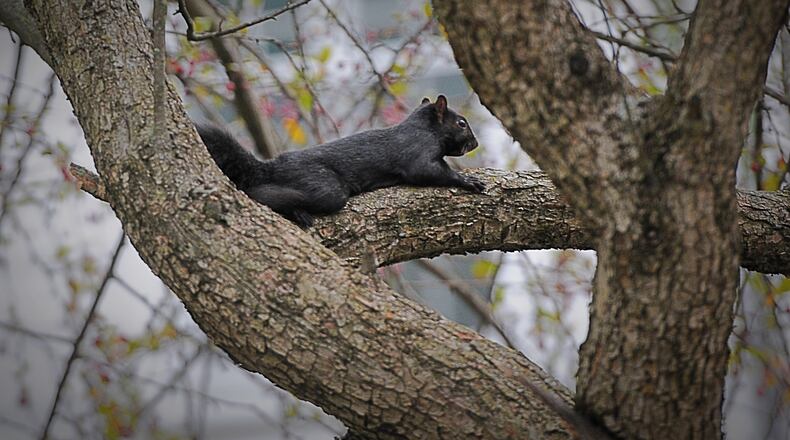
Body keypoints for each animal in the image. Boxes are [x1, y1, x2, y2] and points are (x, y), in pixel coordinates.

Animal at [197, 95, 483, 227]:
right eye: (461, 123)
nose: (476, 143)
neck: (424, 127)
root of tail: (272, 166)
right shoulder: (417, 151)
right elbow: (428, 171)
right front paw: (468, 180)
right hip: (325, 188)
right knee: (261, 193)